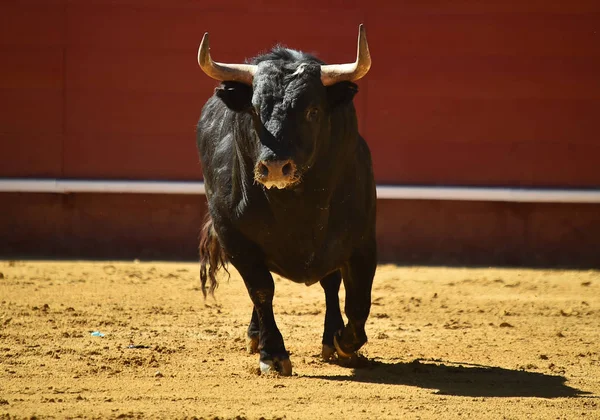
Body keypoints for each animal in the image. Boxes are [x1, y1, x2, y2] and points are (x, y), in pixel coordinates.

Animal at [196, 24, 376, 376]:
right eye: (253, 109)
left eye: (313, 110)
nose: (276, 166)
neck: (297, 207)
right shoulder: (235, 238)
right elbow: (261, 290)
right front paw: (273, 354)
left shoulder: (363, 240)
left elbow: (358, 299)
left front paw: (344, 343)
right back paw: (256, 336)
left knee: (331, 284)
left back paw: (330, 338)